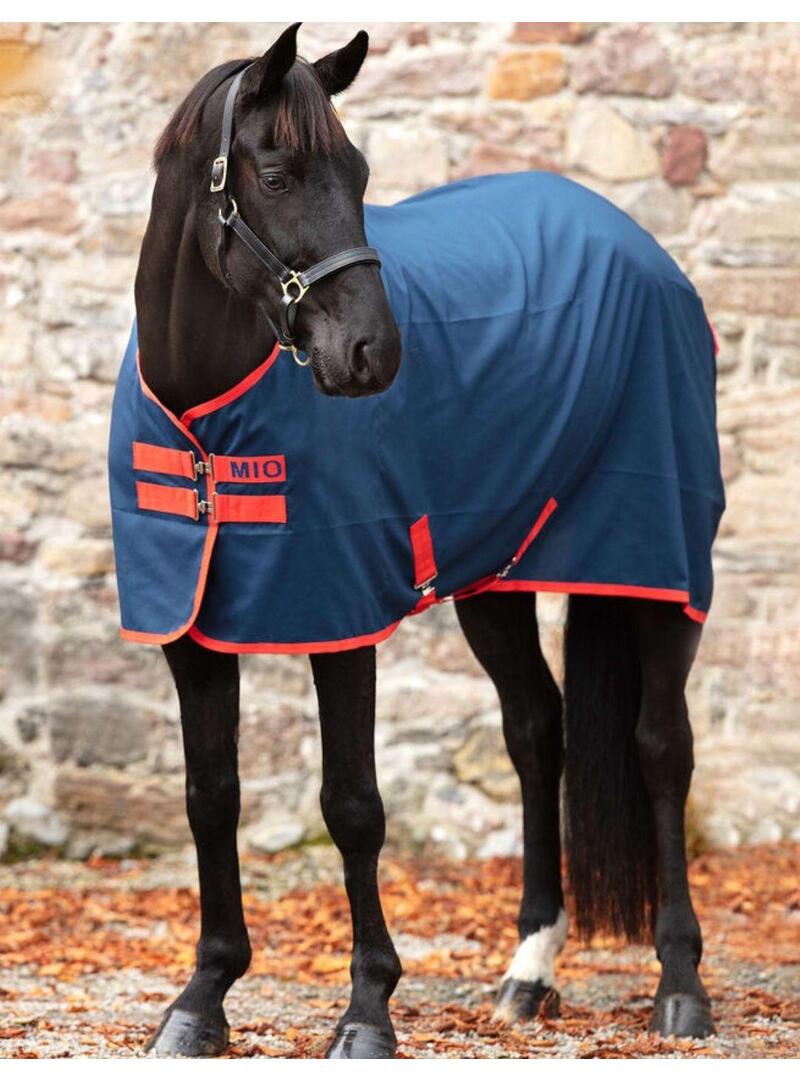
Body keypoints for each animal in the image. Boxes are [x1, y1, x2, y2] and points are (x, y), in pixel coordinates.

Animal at [113, 23, 724, 1059]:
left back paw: (679, 984)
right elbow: (210, 796)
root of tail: (640, 247)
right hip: (496, 579)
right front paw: (202, 998)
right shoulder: (188, 633)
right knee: (537, 732)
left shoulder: (340, 615)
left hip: (657, 566)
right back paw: (530, 971)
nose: (373, 355)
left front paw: (367, 1010)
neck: (206, 415)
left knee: (661, 747)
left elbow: (352, 807)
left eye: (360, 172)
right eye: (274, 175)